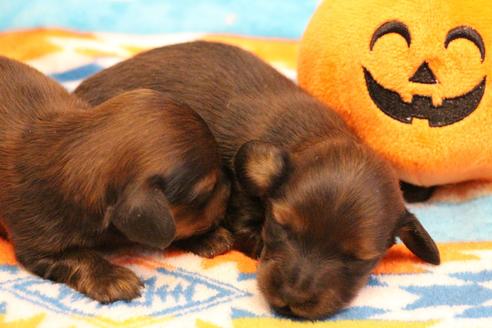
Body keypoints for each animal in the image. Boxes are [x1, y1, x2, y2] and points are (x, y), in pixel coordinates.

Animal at [0, 57, 231, 304]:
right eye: (205, 192)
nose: (230, 191)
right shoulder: (39, 244)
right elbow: (80, 256)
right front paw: (111, 278)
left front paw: (209, 238)